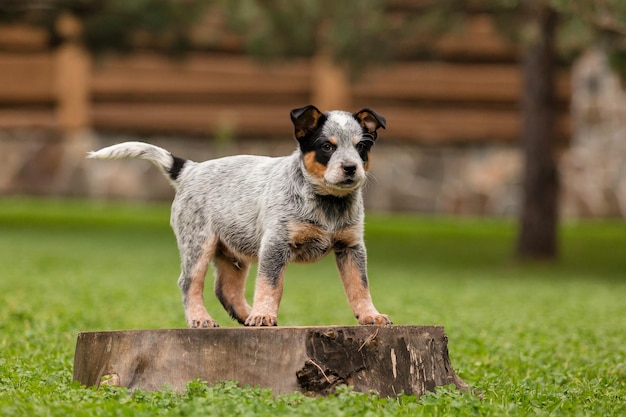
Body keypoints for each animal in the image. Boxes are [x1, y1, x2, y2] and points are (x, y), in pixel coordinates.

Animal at [88, 105, 390, 328]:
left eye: (361, 147)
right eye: (327, 147)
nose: (350, 168)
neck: (327, 204)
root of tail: (190, 169)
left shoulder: (351, 247)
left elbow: (359, 285)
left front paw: (370, 315)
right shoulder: (275, 244)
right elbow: (270, 284)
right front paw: (265, 314)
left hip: (233, 251)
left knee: (226, 289)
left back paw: (247, 315)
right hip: (198, 243)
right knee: (189, 282)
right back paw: (203, 318)